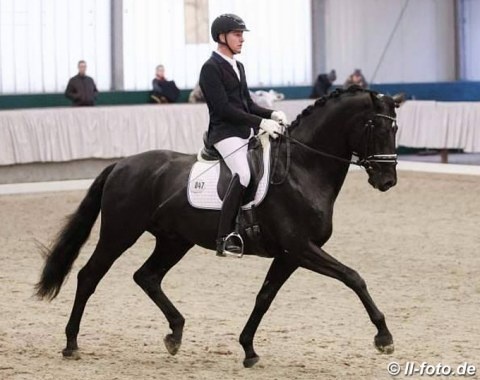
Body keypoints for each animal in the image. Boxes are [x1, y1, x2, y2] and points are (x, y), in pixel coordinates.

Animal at [35, 87, 402, 368]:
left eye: (396, 129)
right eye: (374, 125)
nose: (387, 181)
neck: (301, 170)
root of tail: (121, 164)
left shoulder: (289, 255)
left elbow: (264, 297)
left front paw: (248, 349)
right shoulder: (300, 247)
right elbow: (353, 277)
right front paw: (384, 337)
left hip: (174, 241)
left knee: (147, 276)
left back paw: (175, 333)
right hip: (119, 234)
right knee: (89, 276)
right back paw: (71, 344)